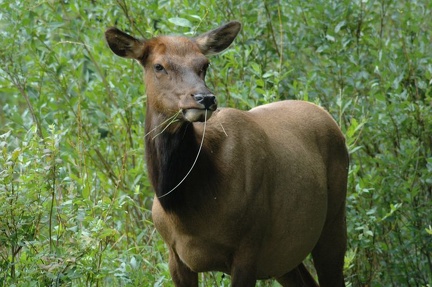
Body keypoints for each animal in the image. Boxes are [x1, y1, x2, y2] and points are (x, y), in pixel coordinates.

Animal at [106, 20, 350, 287]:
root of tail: (328, 117)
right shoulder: (175, 256)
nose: (205, 98)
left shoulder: (249, 246)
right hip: (283, 257)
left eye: (204, 64)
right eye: (159, 66)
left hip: (333, 220)